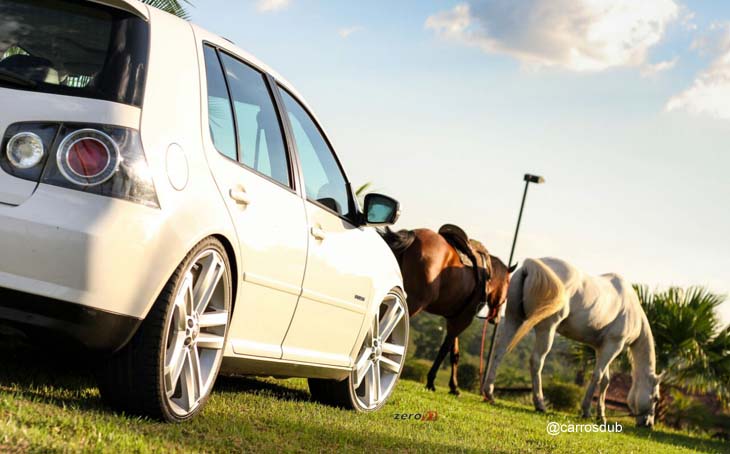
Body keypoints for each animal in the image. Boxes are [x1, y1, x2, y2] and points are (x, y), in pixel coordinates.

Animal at [382, 227, 512, 394]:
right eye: (508, 284)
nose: (497, 319)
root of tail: (413, 235)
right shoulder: (463, 320)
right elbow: (444, 350)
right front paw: (431, 381)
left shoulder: (454, 319)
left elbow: (454, 353)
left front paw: (454, 386)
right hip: (413, 303)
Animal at [480, 258, 664, 428]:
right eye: (656, 398)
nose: (649, 424)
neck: (632, 308)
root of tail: (529, 266)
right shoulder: (613, 346)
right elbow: (597, 376)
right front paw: (586, 411)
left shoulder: (602, 348)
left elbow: (605, 381)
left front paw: (602, 417)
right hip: (547, 329)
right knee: (537, 361)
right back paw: (540, 403)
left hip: (513, 319)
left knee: (499, 352)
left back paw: (489, 392)